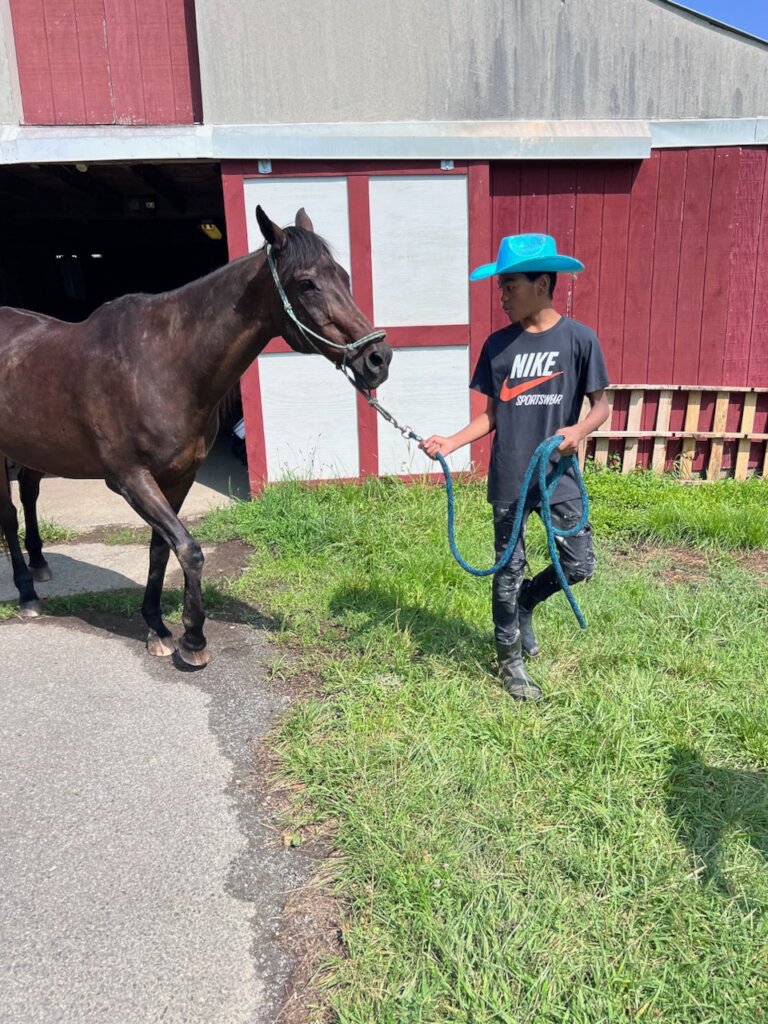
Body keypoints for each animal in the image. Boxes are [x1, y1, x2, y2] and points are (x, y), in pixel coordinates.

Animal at [0, 207, 393, 667]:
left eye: (344, 277)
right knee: (9, 513)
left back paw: (40, 563)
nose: (378, 359)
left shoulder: (179, 476)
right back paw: (27, 594)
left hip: (37, 448)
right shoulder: (130, 479)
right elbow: (188, 549)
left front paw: (156, 627)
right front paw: (192, 639)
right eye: (307, 283)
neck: (161, 364)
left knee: (29, 494)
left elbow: (160, 549)